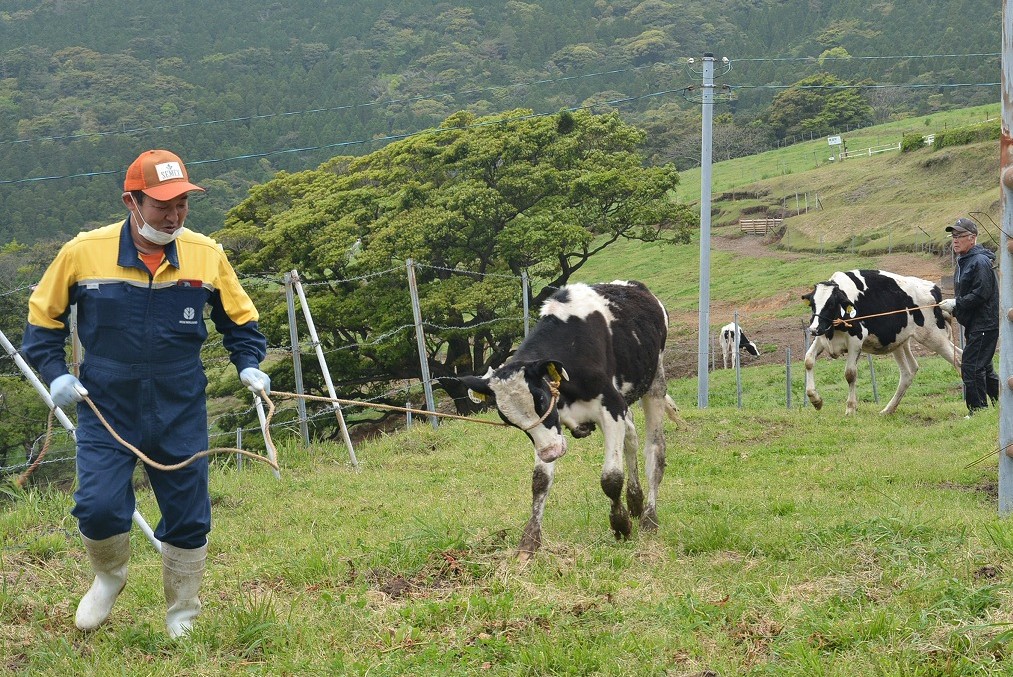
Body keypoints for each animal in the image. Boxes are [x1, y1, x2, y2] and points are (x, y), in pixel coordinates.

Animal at [451, 279, 680, 559]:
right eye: (507, 419)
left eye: (540, 398)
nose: (550, 453)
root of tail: (633, 286)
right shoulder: (553, 428)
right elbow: (540, 482)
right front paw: (529, 542)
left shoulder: (611, 407)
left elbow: (611, 478)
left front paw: (620, 525)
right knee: (632, 439)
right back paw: (635, 500)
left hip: (655, 381)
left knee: (655, 451)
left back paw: (649, 518)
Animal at [802, 267, 960, 415]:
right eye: (812, 304)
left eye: (830, 304)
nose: (813, 329)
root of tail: (933, 287)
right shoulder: (822, 336)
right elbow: (808, 360)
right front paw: (815, 400)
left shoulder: (855, 340)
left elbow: (850, 374)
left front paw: (850, 408)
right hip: (900, 342)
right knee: (909, 371)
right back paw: (888, 409)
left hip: (933, 336)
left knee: (957, 359)